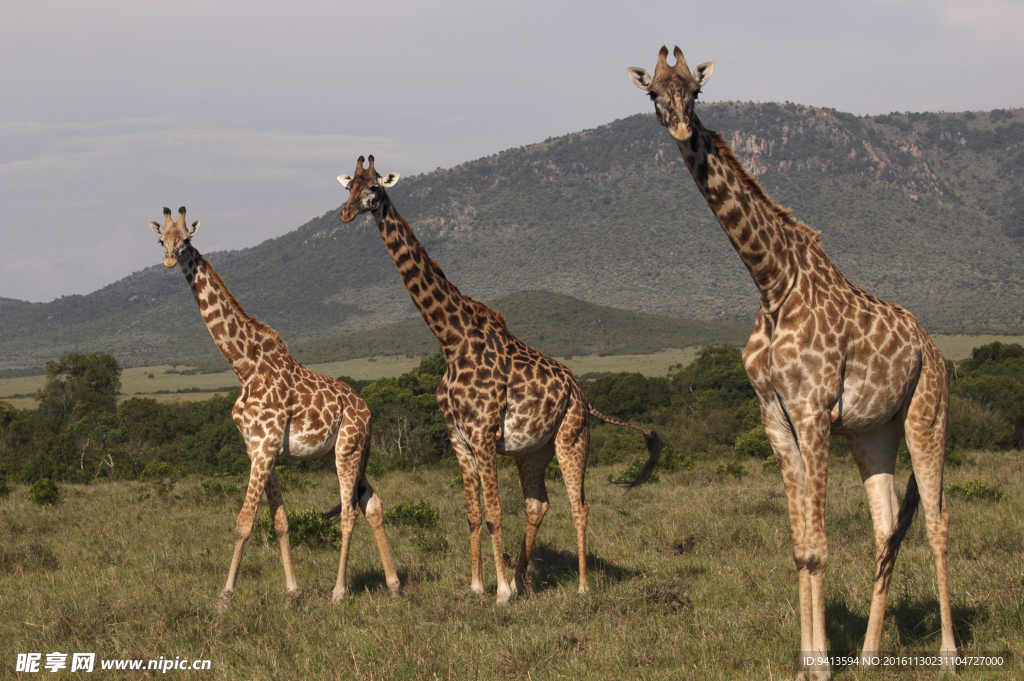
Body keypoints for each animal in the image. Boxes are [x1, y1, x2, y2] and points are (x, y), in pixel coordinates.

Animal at [149, 204, 397, 602]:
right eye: (161, 240)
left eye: (186, 239)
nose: (171, 259)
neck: (243, 365)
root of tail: (368, 411)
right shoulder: (257, 448)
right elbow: (280, 521)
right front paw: (292, 593)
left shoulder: (265, 446)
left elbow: (244, 522)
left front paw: (225, 597)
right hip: (335, 453)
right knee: (371, 502)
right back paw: (393, 584)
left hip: (348, 449)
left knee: (349, 513)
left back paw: (339, 592)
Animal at [331, 156, 659, 602]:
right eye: (349, 186)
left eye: (374, 188)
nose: (346, 214)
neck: (451, 339)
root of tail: (582, 394)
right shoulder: (459, 438)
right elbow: (473, 514)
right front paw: (477, 586)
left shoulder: (484, 433)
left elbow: (494, 514)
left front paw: (500, 591)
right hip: (532, 451)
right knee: (538, 504)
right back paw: (522, 579)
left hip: (572, 436)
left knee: (580, 505)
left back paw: (581, 586)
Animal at [626, 46, 954, 675]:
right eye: (654, 92)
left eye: (695, 91)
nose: (679, 127)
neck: (772, 283)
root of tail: (934, 348)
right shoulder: (775, 418)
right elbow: (802, 548)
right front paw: (807, 661)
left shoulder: (813, 410)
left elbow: (821, 548)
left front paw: (822, 664)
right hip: (873, 431)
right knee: (886, 529)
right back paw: (870, 656)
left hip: (927, 415)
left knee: (936, 523)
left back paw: (950, 656)